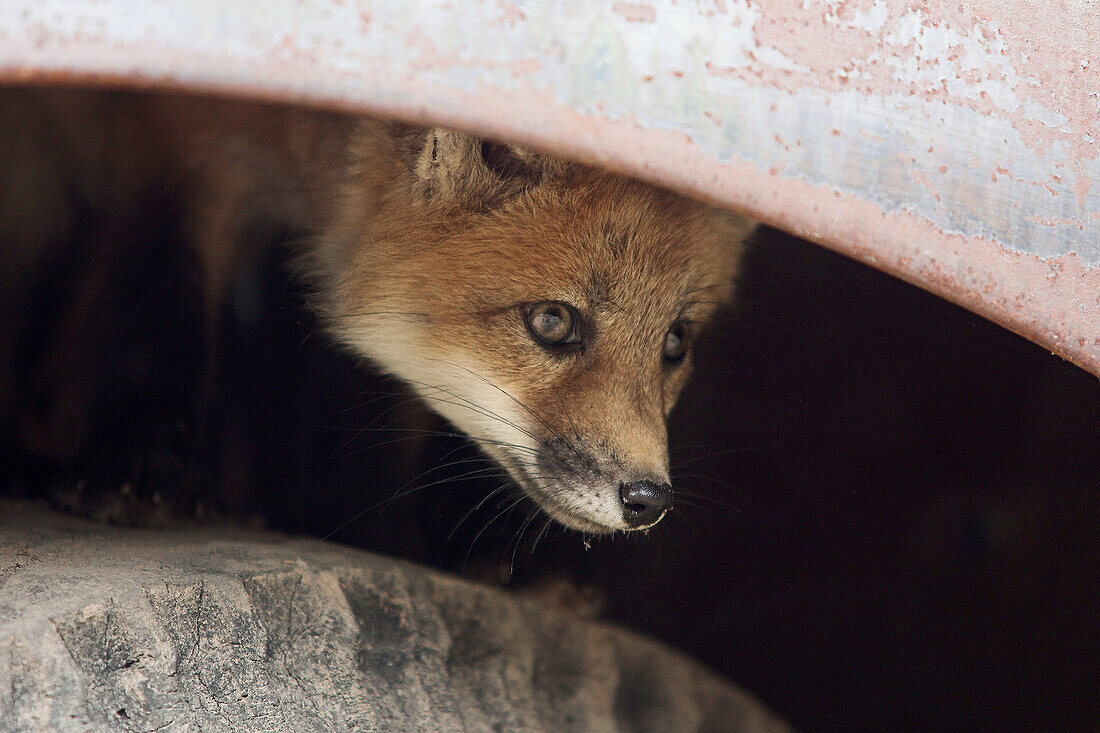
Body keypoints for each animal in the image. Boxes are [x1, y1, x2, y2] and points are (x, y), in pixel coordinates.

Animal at [0, 85, 752, 530]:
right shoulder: (178, 144)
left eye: (674, 344)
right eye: (553, 322)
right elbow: (159, 312)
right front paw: (138, 465)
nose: (648, 500)